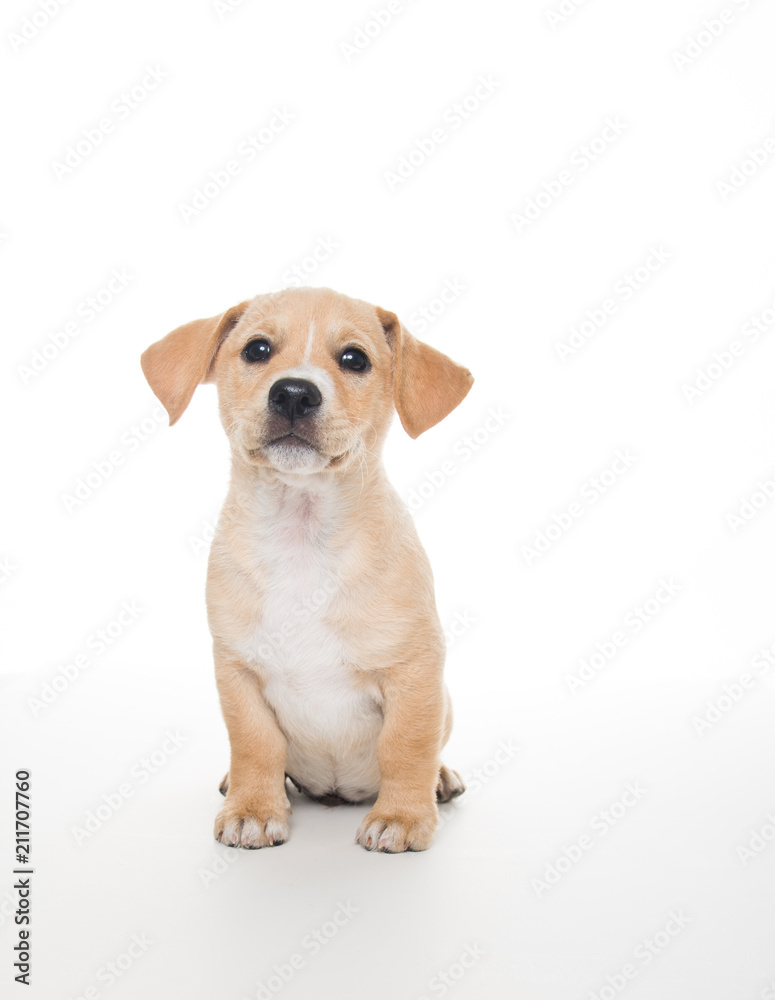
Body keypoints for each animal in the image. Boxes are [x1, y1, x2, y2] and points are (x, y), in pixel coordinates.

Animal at [143, 284, 476, 852]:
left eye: (354, 359)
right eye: (256, 350)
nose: (295, 393)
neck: (302, 535)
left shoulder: (414, 673)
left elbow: (407, 746)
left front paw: (404, 816)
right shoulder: (238, 671)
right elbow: (254, 743)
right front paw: (254, 807)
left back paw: (440, 780)